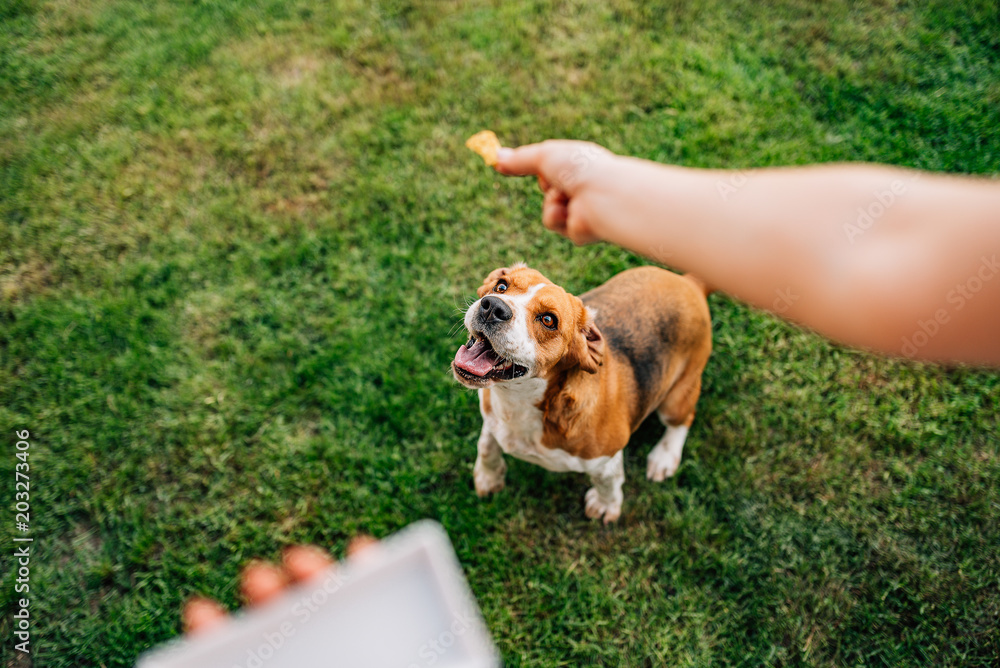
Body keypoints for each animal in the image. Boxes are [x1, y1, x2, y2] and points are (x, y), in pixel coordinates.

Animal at [454, 264, 712, 524]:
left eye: (548, 320)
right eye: (501, 286)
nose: (492, 307)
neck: (519, 401)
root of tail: (691, 282)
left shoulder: (605, 459)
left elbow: (608, 483)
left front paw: (605, 506)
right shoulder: (491, 418)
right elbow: (487, 446)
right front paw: (488, 477)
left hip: (675, 400)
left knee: (683, 419)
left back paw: (664, 457)